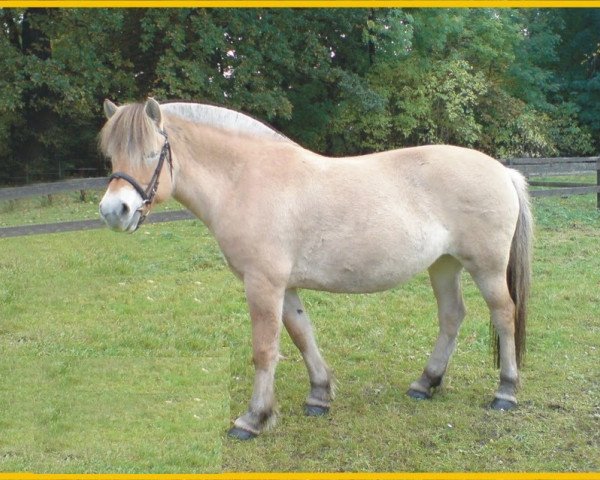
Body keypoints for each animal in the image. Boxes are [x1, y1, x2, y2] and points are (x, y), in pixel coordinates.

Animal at [99, 99, 536, 440]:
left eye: (152, 153)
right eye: (112, 155)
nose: (113, 211)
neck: (245, 179)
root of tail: (503, 171)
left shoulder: (263, 284)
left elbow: (265, 349)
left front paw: (254, 418)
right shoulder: (285, 287)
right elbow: (301, 335)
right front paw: (319, 396)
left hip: (486, 268)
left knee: (504, 315)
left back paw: (505, 392)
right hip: (443, 265)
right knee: (452, 317)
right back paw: (425, 383)